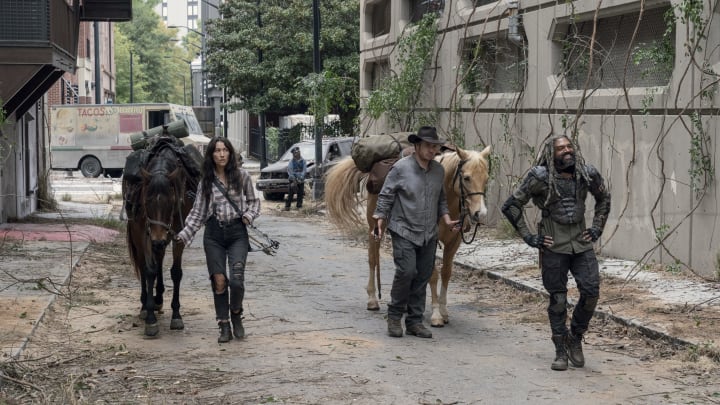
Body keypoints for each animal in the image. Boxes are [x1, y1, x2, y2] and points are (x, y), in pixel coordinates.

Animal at [122, 137, 198, 336]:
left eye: (171, 202)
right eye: (146, 202)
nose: (157, 239)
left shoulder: (177, 232)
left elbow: (175, 272)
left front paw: (176, 315)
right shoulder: (144, 232)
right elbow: (149, 270)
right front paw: (150, 318)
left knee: (160, 257)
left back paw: (159, 298)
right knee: (145, 264)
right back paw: (146, 305)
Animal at [324, 145, 490, 326]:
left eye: (486, 179)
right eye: (466, 178)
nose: (480, 214)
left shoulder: (454, 242)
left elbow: (446, 273)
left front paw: (444, 310)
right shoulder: (430, 242)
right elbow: (433, 275)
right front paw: (436, 315)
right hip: (374, 228)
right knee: (373, 259)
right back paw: (373, 299)